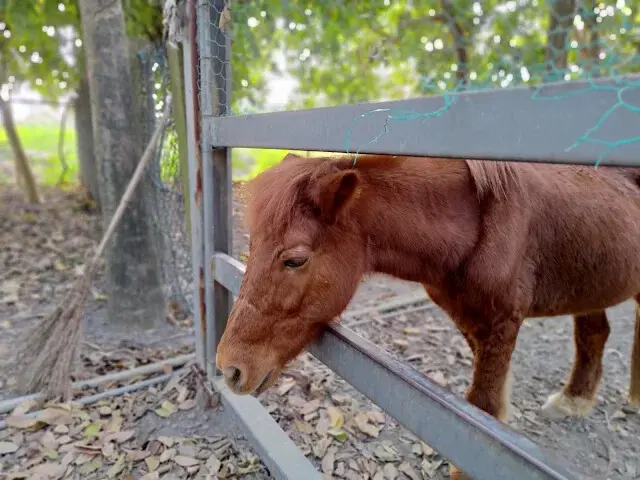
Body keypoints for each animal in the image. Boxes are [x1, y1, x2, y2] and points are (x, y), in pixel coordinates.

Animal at [215, 152, 640, 479]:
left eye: (295, 260)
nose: (230, 367)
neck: (478, 224)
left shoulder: (501, 323)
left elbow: (483, 410)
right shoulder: (471, 322)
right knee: (595, 333)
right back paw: (575, 400)